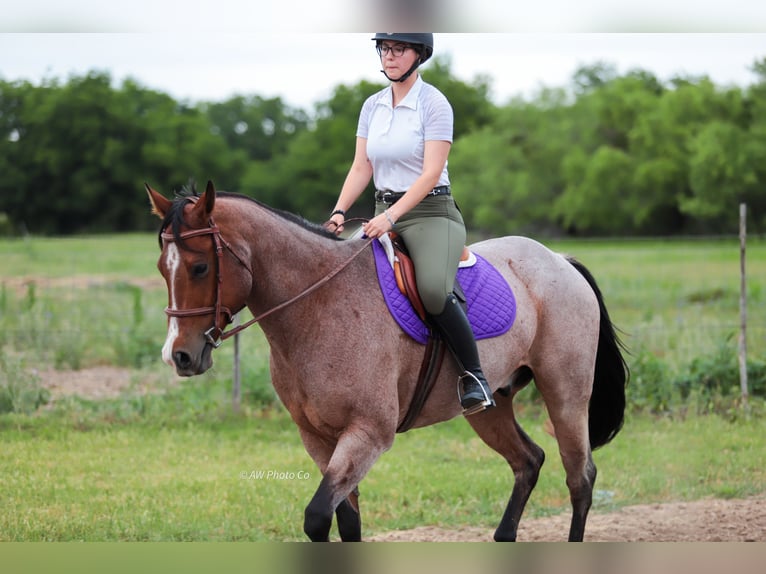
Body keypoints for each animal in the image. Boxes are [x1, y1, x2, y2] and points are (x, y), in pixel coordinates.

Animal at [146, 180, 628, 542]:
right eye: (162, 268)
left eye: (200, 268)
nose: (180, 356)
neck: (319, 305)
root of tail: (558, 260)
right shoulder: (318, 438)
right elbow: (347, 522)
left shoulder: (368, 434)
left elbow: (317, 518)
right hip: (491, 406)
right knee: (528, 461)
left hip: (565, 395)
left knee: (580, 478)